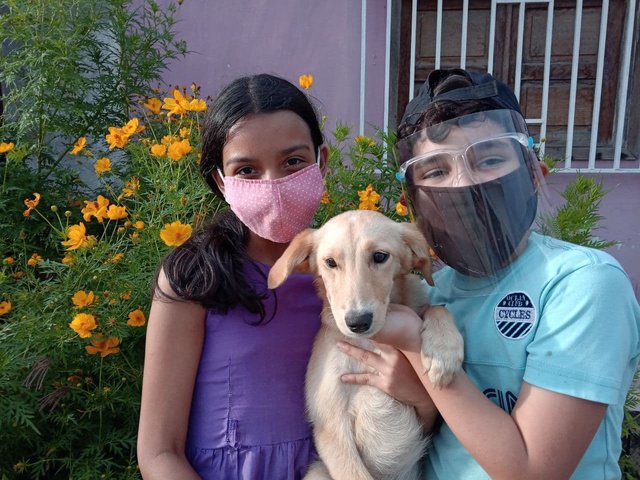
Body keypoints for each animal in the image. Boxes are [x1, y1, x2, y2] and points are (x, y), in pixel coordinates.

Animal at [268, 210, 462, 480]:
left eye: (380, 256)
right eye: (330, 262)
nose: (357, 322)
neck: (369, 346)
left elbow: (434, 308)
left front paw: (443, 352)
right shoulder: (331, 427)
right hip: (317, 471)